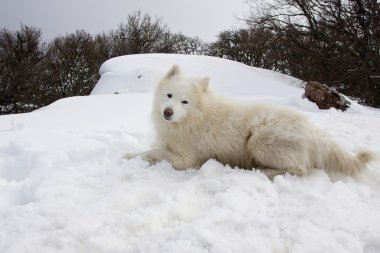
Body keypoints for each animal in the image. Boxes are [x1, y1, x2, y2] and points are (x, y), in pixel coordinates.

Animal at [124, 64, 374, 177]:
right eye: (169, 96)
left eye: (184, 102)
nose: (167, 112)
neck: (194, 119)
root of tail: (314, 132)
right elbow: (151, 148)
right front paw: (130, 154)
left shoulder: (187, 159)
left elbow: (155, 152)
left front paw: (136, 156)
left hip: (259, 141)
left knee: (299, 169)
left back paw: (262, 171)